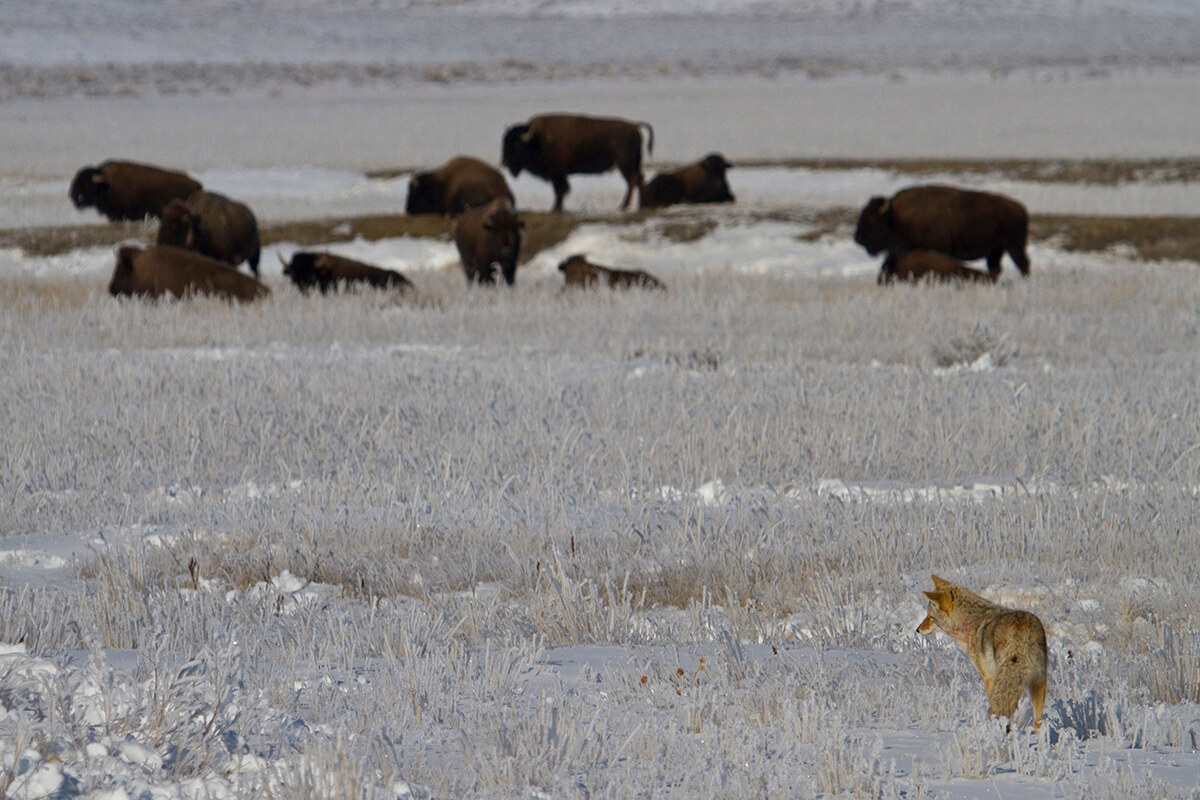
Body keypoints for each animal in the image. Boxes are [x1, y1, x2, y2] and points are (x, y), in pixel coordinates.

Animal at [69, 159, 202, 221]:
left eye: (87, 183)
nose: (75, 196)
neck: (105, 184)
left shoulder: (116, 214)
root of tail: (196, 184)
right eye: (76, 182)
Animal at [502, 113, 654, 212]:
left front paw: (555, 208)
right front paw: (557, 208)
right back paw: (640, 205)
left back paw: (623, 206)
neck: (537, 140)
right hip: (631, 164)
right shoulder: (559, 174)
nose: (505, 162)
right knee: (638, 179)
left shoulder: (557, 173)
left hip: (624, 165)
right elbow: (560, 190)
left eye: (516, 145)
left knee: (633, 180)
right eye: (505, 141)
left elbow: (560, 190)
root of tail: (634, 125)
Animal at [854, 184, 1030, 277]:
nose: (857, 238)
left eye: (873, 220)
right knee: (996, 268)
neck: (896, 217)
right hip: (996, 250)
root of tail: (1020, 208)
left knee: (1023, 264)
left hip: (1014, 246)